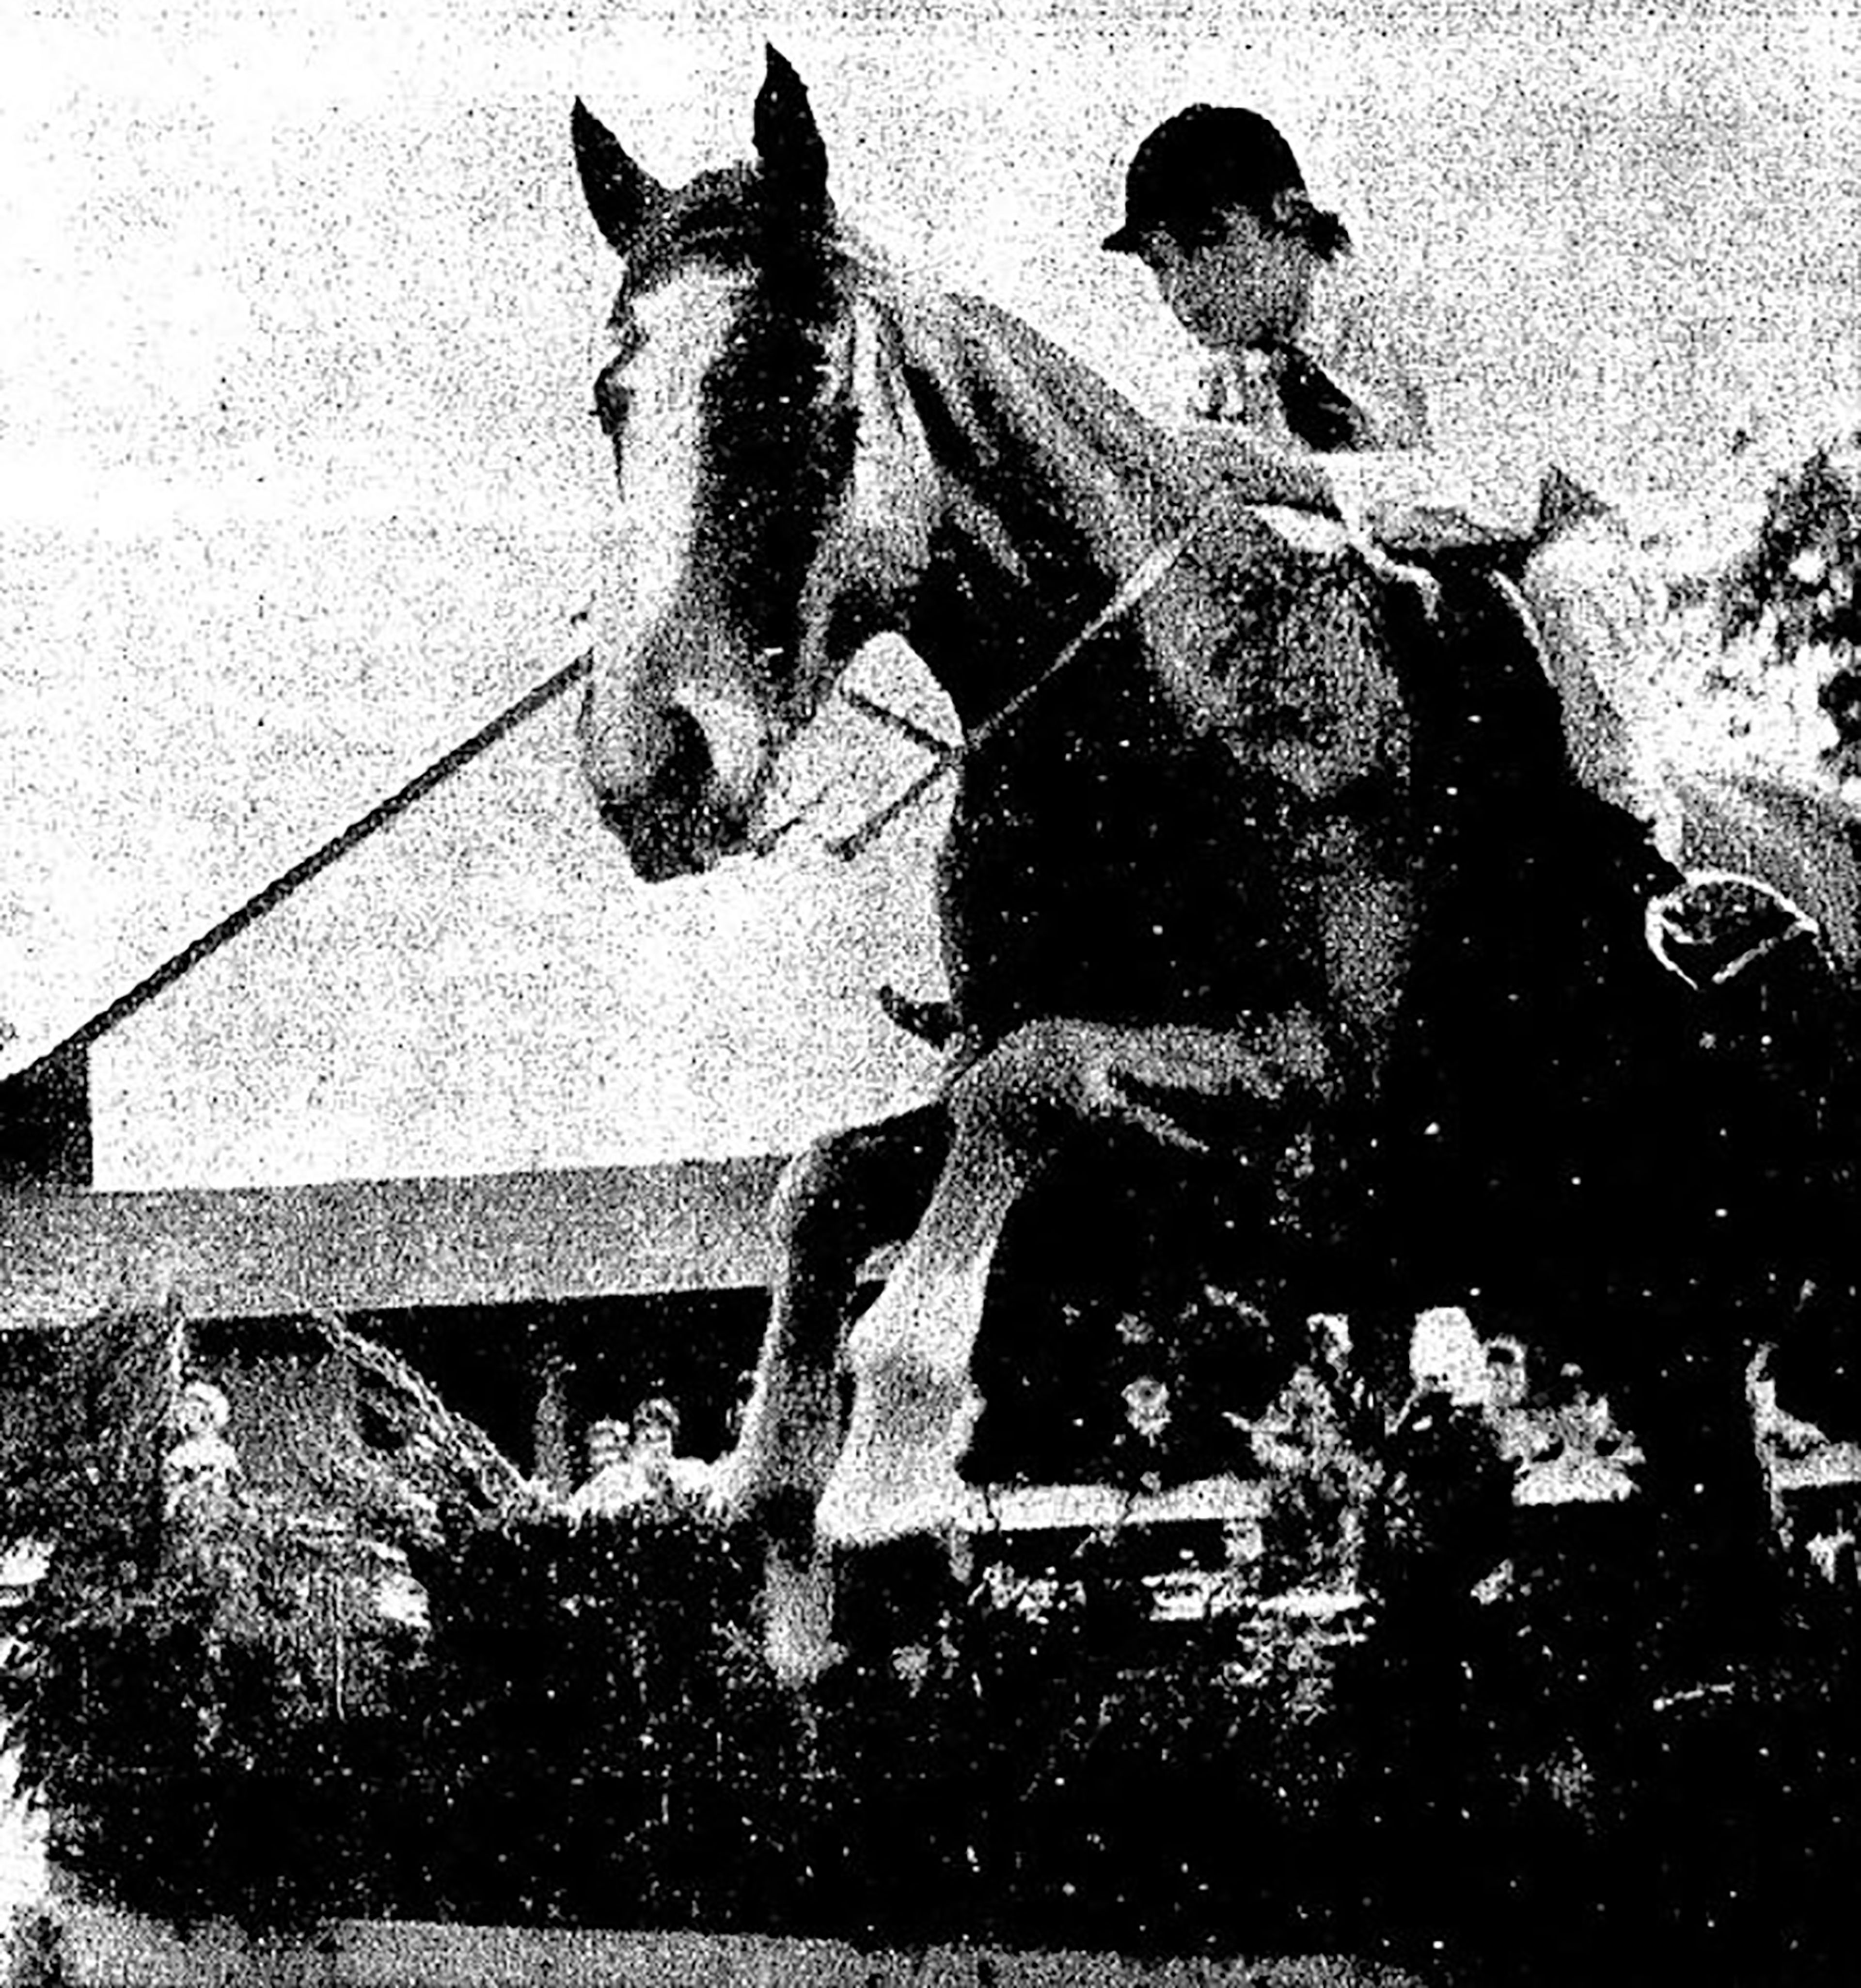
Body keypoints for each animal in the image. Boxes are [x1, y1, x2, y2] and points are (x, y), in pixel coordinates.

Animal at [572, 50, 1853, 1678]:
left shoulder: (1335, 1101)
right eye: (611, 399)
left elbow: (1027, 1080)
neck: (1161, 706)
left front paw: (887, 1471)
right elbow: (836, 1174)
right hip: (1664, 1331)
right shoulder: (1158, 1184)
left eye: (794, 377)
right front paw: (779, 1503)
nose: (649, 774)